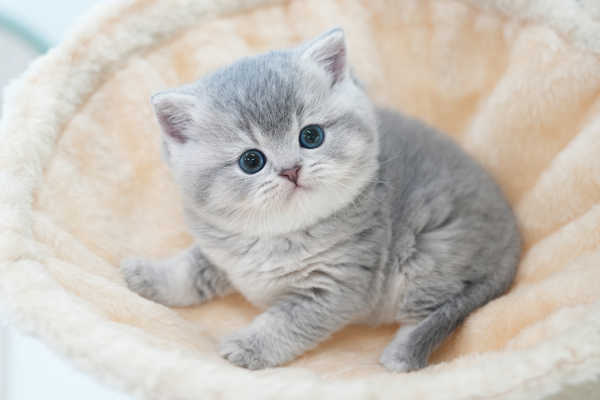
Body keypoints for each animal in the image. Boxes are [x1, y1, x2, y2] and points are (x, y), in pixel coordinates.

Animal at [121, 28, 521, 372]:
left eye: (311, 136)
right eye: (251, 161)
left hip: (430, 254)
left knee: (437, 311)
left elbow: (286, 322)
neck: (280, 235)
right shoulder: (220, 253)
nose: (291, 170)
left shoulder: (334, 287)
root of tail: (513, 238)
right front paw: (149, 276)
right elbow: (189, 271)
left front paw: (249, 346)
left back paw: (402, 351)